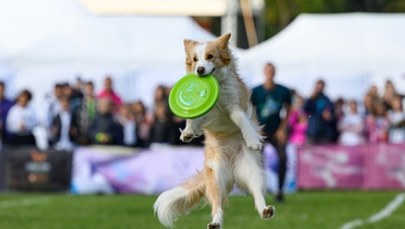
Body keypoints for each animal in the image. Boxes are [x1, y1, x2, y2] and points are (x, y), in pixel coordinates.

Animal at [152, 34, 274, 229]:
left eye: (210, 56)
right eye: (195, 59)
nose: (200, 70)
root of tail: (232, 168)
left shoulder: (235, 104)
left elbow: (241, 120)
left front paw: (252, 139)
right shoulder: (205, 114)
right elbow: (192, 119)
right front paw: (187, 133)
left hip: (252, 170)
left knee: (257, 194)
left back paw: (265, 210)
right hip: (216, 176)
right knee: (217, 205)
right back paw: (215, 222)